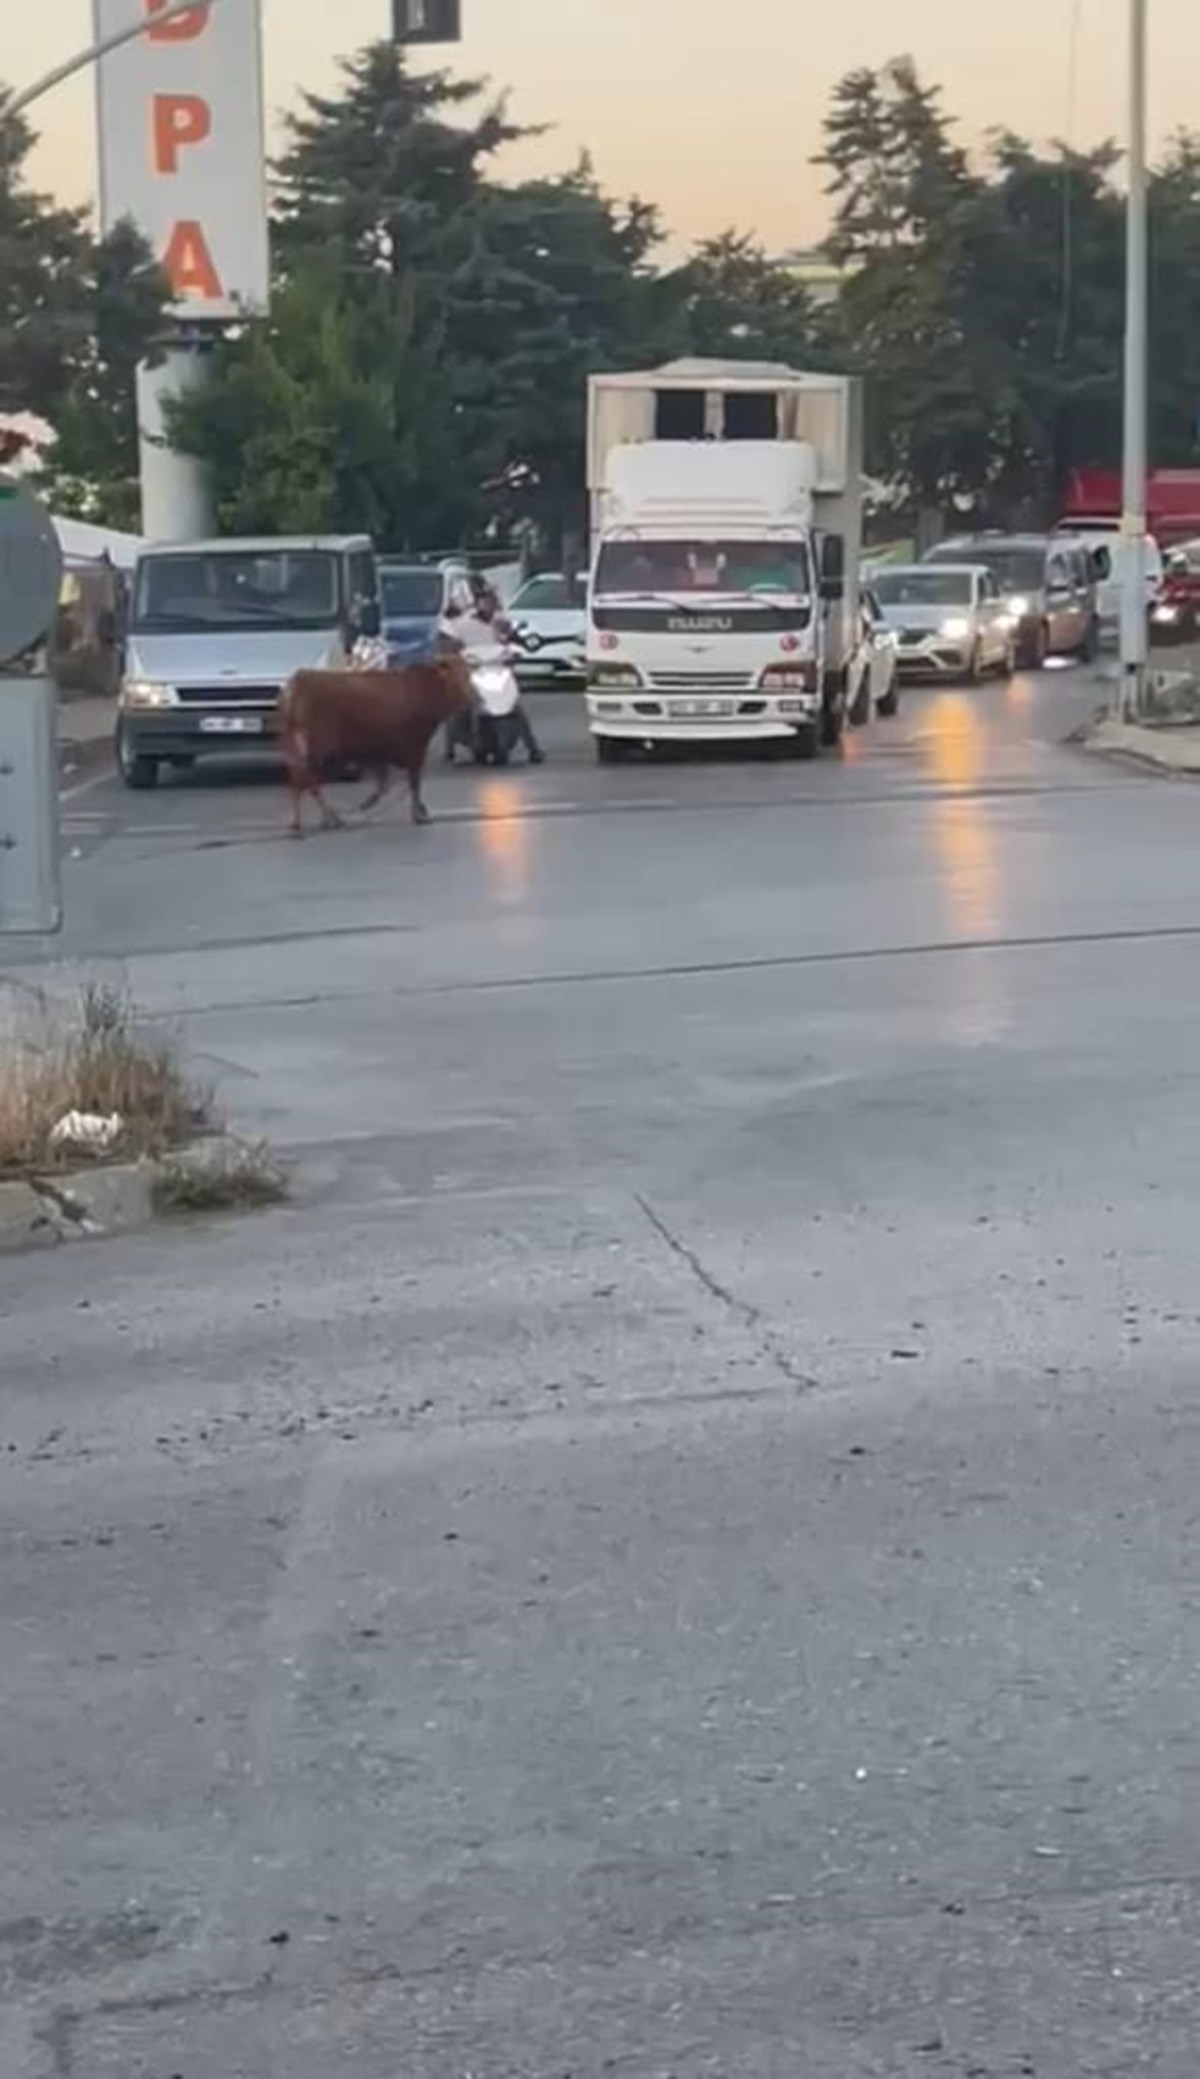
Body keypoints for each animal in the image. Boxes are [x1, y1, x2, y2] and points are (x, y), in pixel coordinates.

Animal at [278, 656, 470, 835]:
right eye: (454, 676)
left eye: (467, 675)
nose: (468, 698)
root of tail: (297, 680)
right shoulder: (415, 746)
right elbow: (413, 783)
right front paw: (418, 814)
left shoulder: (385, 750)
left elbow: (388, 782)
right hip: (316, 747)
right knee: (303, 779)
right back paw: (305, 823)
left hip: (299, 746)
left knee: (305, 779)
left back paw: (326, 819)